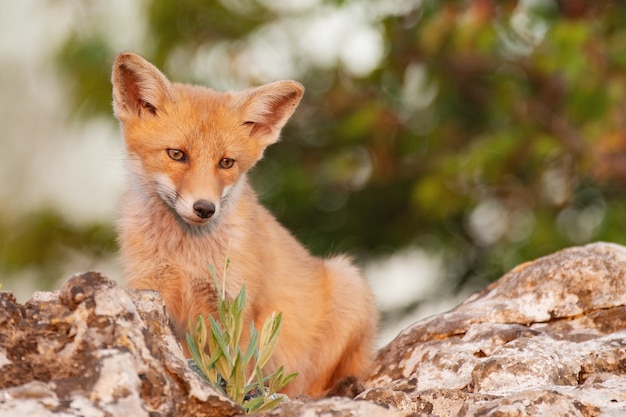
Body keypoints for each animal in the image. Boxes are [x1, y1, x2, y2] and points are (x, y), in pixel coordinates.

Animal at [110, 52, 378, 396]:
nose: (204, 208)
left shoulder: (233, 307)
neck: (186, 258)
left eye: (226, 162)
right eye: (176, 154)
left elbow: (231, 372)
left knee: (312, 387)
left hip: (347, 284)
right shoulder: (151, 291)